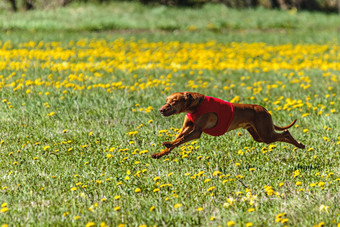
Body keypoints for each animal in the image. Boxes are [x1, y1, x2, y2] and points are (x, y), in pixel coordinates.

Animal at [151, 91, 306, 159]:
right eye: (166, 100)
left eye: (174, 101)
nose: (161, 109)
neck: (194, 105)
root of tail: (264, 109)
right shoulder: (186, 128)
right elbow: (177, 140)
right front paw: (159, 153)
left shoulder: (196, 132)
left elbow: (180, 140)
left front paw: (167, 144)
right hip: (258, 135)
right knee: (282, 134)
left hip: (266, 134)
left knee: (286, 133)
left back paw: (300, 145)